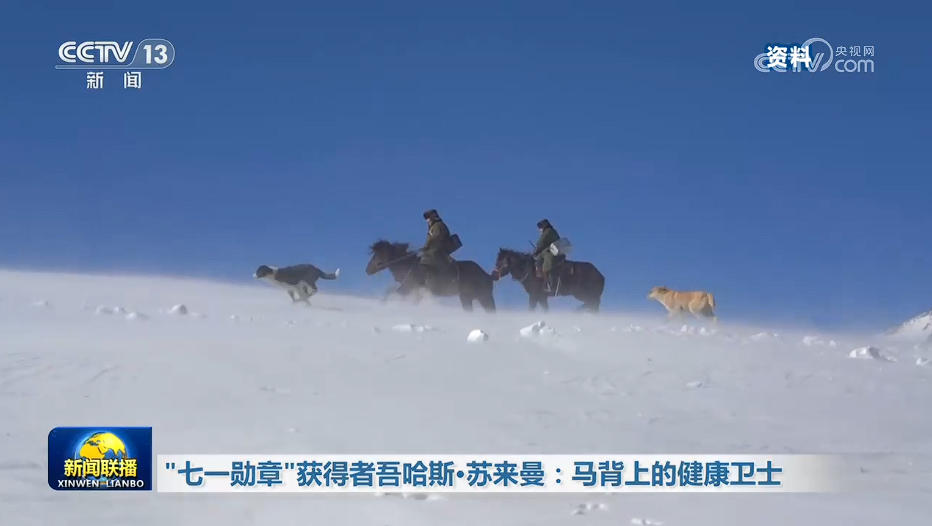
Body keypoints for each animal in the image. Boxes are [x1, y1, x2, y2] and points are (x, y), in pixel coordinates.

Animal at [366, 240, 496, 312]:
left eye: (377, 256)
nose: (367, 270)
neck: (407, 264)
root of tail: (488, 276)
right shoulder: (414, 290)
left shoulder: (407, 287)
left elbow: (390, 292)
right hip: (469, 298)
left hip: (482, 297)